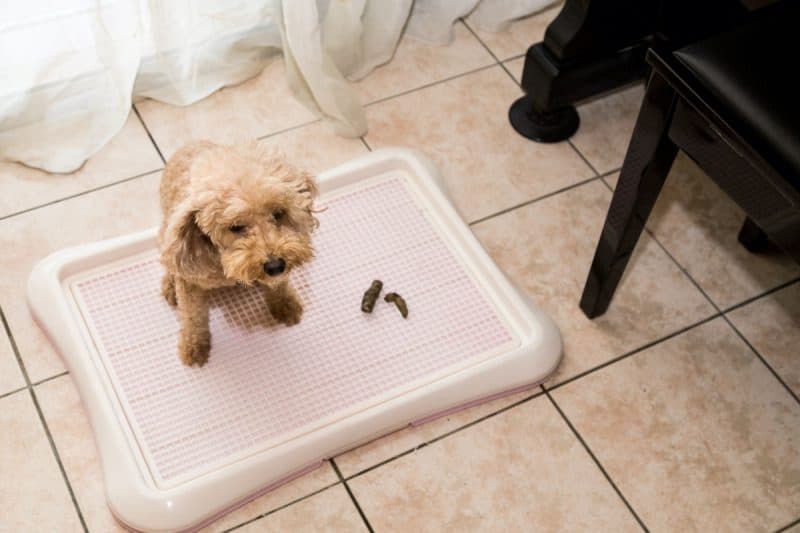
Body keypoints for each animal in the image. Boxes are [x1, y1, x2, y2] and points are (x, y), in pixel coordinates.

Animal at [156, 141, 318, 366]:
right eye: (235, 227)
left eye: (278, 213)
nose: (275, 265)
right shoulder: (190, 283)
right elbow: (192, 316)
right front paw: (194, 346)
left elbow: (279, 286)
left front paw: (285, 304)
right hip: (166, 234)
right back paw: (170, 286)